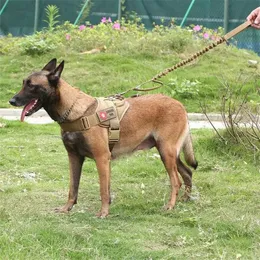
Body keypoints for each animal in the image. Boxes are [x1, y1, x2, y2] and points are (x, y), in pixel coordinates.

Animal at [9, 59, 198, 217]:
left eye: (32, 86)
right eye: (23, 83)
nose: (12, 101)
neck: (75, 111)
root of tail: (179, 104)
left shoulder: (101, 158)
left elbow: (103, 190)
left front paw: (103, 213)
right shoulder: (74, 158)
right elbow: (73, 187)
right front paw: (67, 208)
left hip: (166, 152)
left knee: (176, 181)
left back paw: (170, 205)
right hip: (168, 153)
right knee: (187, 173)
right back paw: (184, 200)